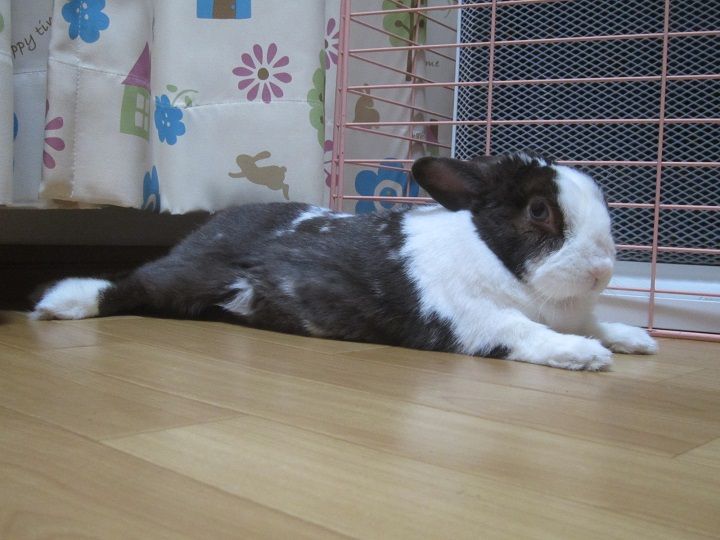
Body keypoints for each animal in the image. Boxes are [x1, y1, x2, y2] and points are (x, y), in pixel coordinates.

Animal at [30, 151, 657, 371]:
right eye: (538, 210)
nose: (603, 270)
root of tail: (212, 225)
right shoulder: (482, 322)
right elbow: (530, 335)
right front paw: (586, 356)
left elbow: (601, 322)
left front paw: (637, 339)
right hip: (186, 275)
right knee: (130, 286)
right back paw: (60, 302)